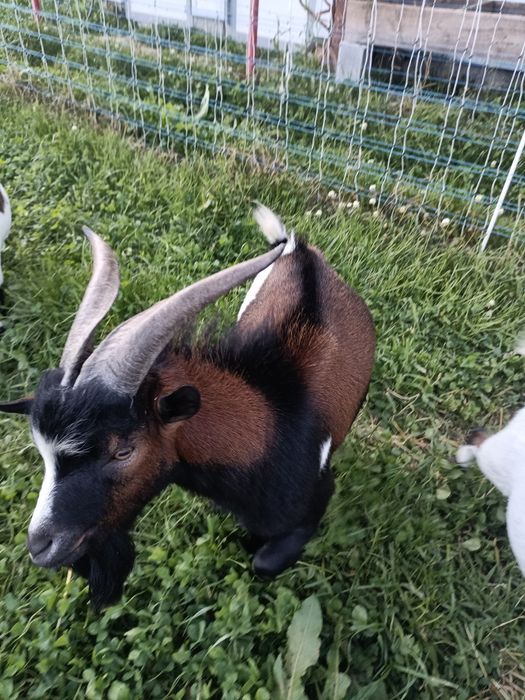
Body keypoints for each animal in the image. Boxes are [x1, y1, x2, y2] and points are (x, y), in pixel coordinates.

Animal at [0, 206, 375, 608]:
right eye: (43, 453)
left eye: (123, 451)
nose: (40, 546)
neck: (273, 423)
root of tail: (299, 250)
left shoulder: (316, 499)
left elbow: (264, 561)